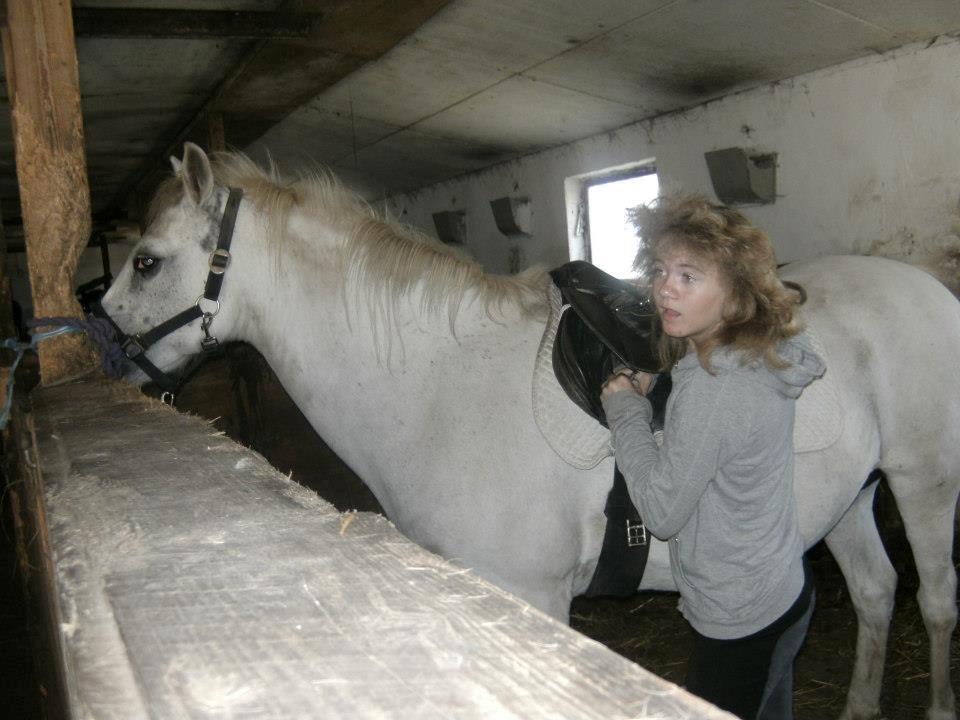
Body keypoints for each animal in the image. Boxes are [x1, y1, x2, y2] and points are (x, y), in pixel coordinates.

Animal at [101, 142, 956, 720]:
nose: (102, 357)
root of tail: (929, 289)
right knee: (877, 592)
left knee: (936, 600)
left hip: (923, 485)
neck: (436, 383)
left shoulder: (535, 598)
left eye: (146, 262)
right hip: (848, 498)